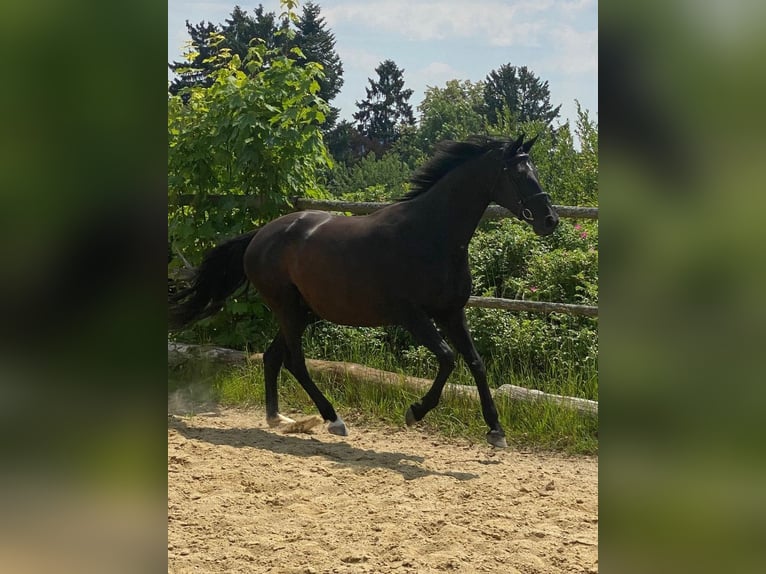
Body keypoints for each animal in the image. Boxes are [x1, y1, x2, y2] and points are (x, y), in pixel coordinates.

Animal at [169, 133, 559, 447]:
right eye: (518, 173)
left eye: (535, 169)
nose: (549, 220)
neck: (430, 234)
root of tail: (259, 236)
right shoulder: (411, 315)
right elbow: (449, 358)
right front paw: (415, 412)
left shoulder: (451, 313)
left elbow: (476, 363)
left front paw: (496, 431)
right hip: (289, 309)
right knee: (295, 361)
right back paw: (333, 420)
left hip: (304, 312)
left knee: (272, 356)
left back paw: (278, 418)